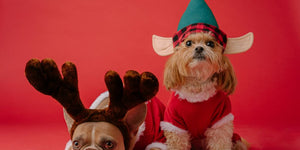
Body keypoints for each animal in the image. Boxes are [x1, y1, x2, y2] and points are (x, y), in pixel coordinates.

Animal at [152, 22, 253, 150]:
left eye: (210, 43)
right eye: (188, 43)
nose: (199, 48)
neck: (197, 88)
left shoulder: (220, 121)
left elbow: (220, 142)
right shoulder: (174, 123)